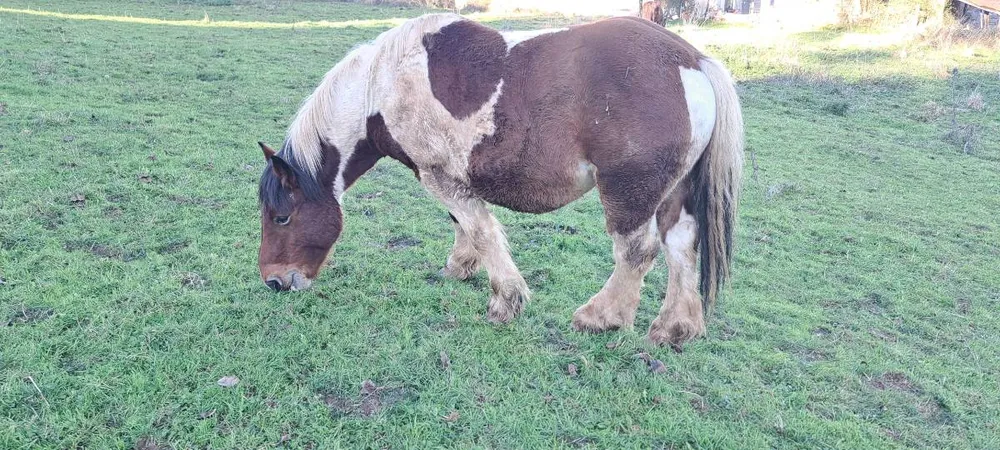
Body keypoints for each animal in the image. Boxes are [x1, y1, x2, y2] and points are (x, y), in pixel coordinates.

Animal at [256, 13, 743, 347]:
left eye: (281, 218)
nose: (274, 282)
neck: (383, 85)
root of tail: (692, 61)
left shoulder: (438, 177)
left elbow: (482, 232)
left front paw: (505, 301)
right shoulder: (453, 178)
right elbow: (463, 225)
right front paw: (460, 268)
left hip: (630, 192)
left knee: (637, 251)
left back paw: (601, 317)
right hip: (673, 193)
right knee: (681, 244)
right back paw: (675, 327)